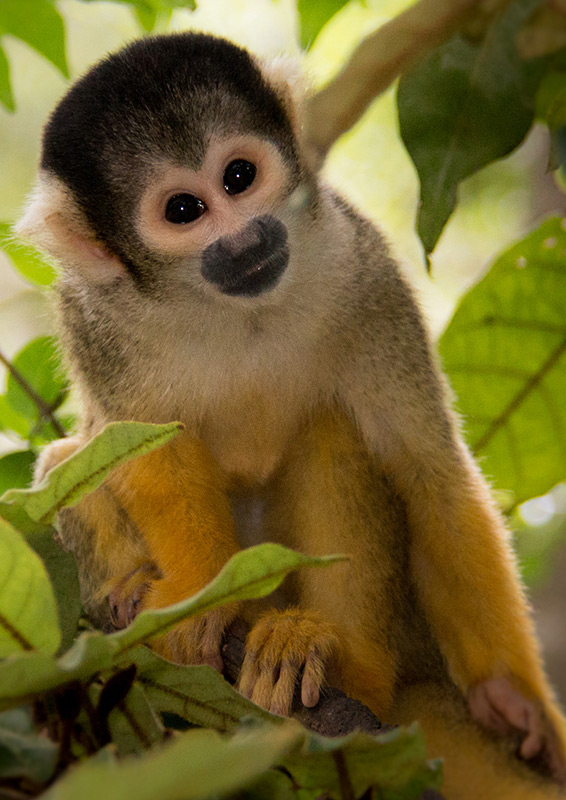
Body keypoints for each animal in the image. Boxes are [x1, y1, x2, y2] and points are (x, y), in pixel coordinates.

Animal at [16, 32, 566, 799]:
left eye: (239, 176)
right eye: (184, 211)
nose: (245, 241)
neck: (237, 310)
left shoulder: (364, 267)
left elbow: (428, 468)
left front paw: (515, 700)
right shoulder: (95, 321)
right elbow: (147, 452)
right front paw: (203, 601)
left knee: (336, 431)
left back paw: (331, 662)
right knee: (69, 459)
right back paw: (128, 593)